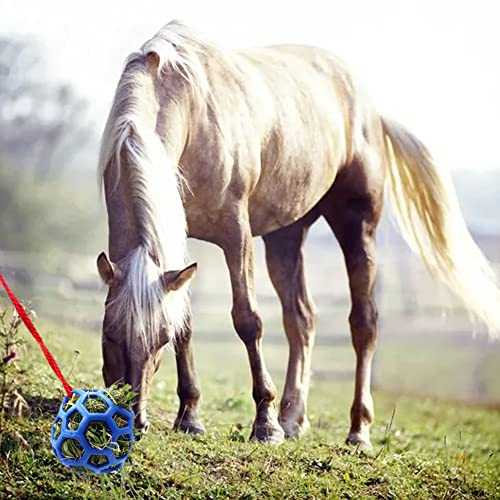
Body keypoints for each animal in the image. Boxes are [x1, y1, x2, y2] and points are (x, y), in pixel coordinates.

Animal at [96, 20, 500, 450]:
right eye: (109, 334)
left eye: (159, 340)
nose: (130, 421)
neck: (184, 102)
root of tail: (371, 111)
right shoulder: (179, 241)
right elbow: (188, 322)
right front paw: (190, 417)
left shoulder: (235, 232)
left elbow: (248, 320)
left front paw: (264, 424)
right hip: (286, 237)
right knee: (301, 318)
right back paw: (293, 418)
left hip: (357, 227)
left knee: (364, 322)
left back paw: (357, 430)